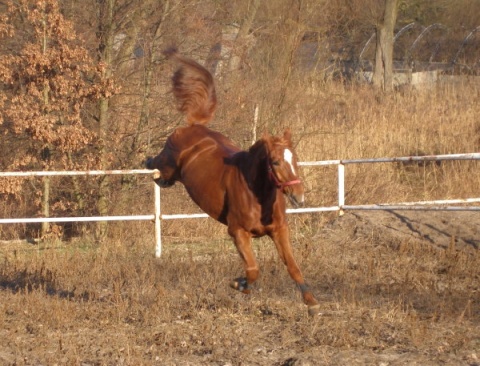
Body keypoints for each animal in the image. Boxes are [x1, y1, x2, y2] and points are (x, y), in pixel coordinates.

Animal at [146, 49, 318, 314]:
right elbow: (253, 269)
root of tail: (195, 127)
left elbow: (292, 265)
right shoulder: (237, 232)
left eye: (295, 159)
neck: (257, 195)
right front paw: (239, 284)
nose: (299, 196)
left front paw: (311, 302)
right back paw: (150, 167)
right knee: (158, 165)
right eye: (276, 162)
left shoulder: (279, 230)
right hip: (168, 163)